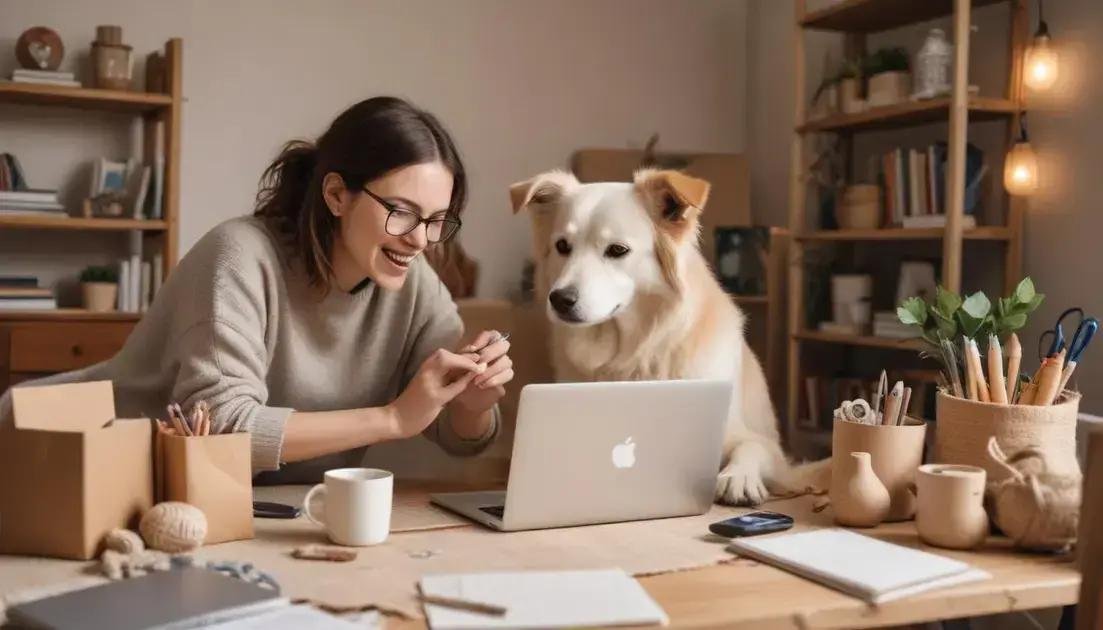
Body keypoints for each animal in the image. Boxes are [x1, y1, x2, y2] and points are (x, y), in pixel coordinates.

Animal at [509, 168, 820, 507]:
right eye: (563, 246)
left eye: (617, 250)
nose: (560, 300)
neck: (630, 353)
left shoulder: (764, 446)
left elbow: (751, 447)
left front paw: (738, 478)